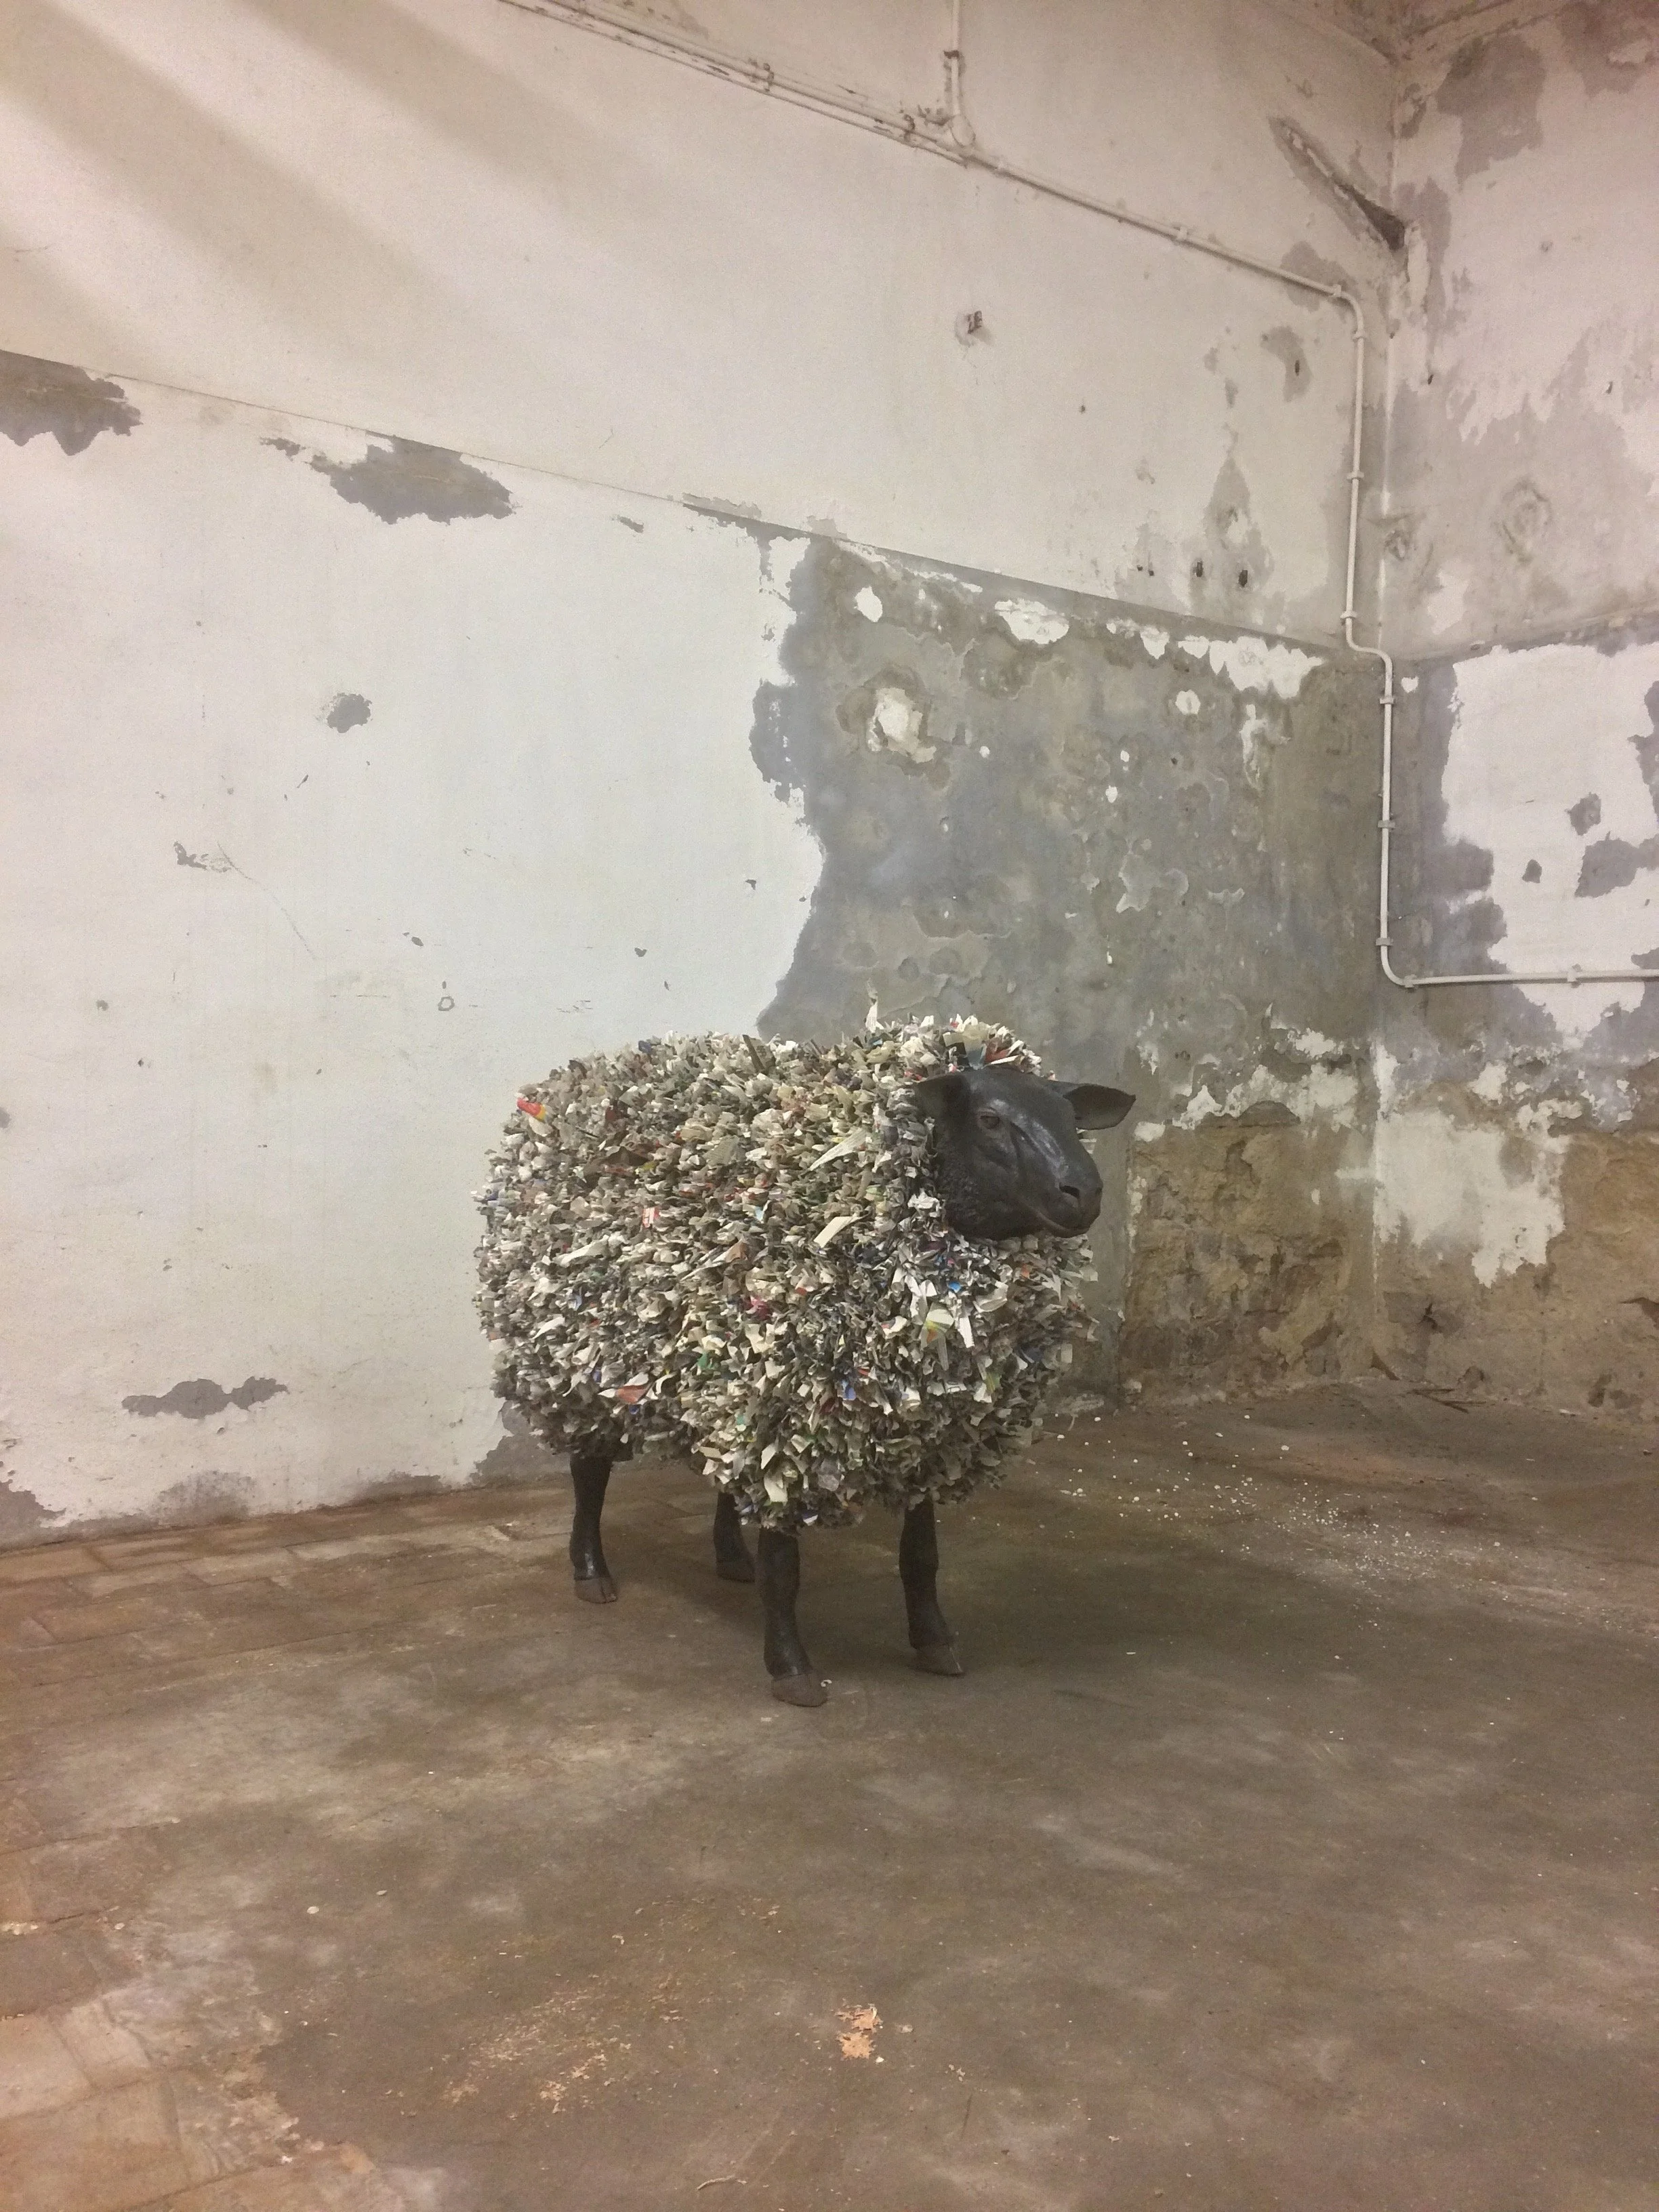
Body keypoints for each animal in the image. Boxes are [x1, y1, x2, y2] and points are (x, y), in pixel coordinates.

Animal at [476, 1014, 1132, 1703]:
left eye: (1071, 1118)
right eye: (989, 1120)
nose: (1084, 1192)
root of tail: (560, 1090)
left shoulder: (927, 1433)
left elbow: (921, 1554)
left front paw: (933, 1640)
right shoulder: (791, 1412)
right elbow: (783, 1564)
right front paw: (791, 1667)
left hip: (725, 1375)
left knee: (726, 1471)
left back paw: (728, 1557)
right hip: (583, 1361)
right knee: (590, 1469)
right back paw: (591, 1571)